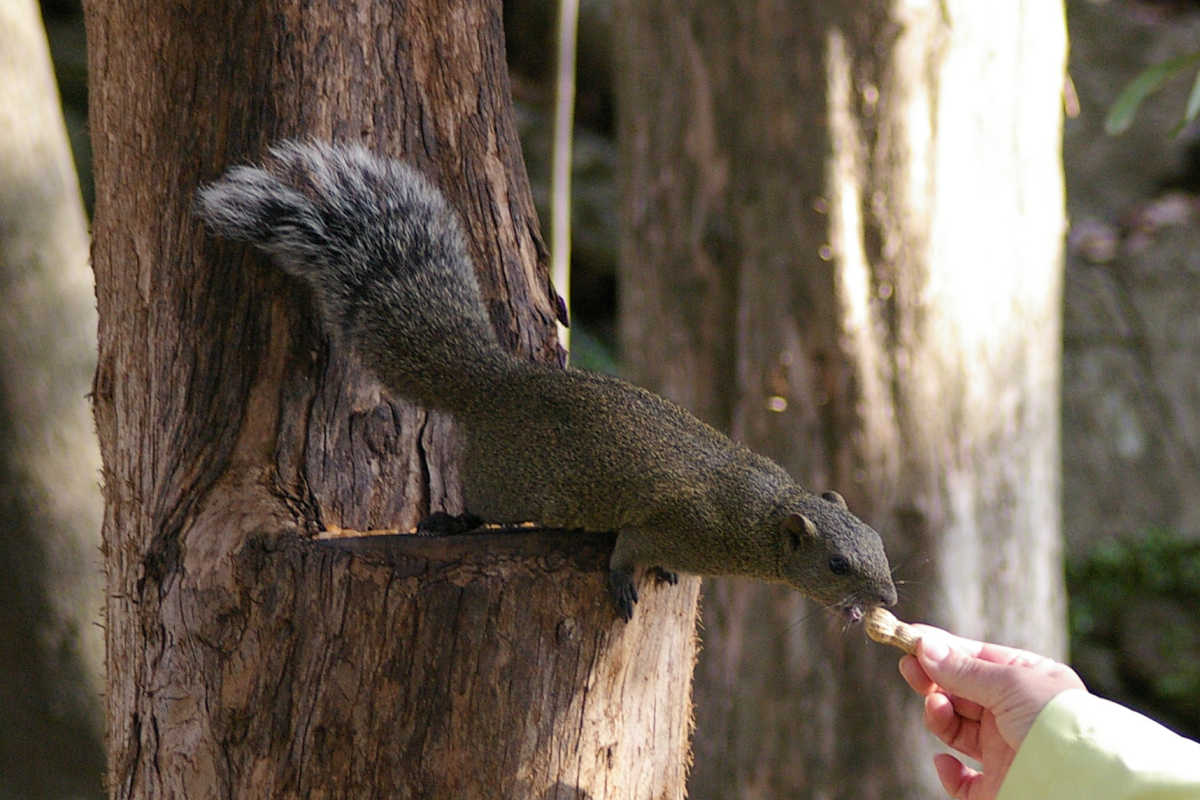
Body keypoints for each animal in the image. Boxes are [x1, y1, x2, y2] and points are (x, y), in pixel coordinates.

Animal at [196, 140, 897, 623]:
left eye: (879, 544)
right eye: (837, 564)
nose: (888, 597)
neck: (759, 514)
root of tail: (495, 386)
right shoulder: (676, 524)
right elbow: (628, 548)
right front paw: (625, 581)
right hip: (511, 483)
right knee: (483, 506)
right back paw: (450, 522)